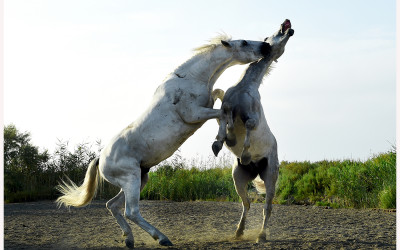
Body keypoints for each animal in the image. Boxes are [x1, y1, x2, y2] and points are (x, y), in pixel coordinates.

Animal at [56, 34, 270, 248]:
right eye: (243, 42)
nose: (266, 46)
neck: (192, 78)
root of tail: (101, 159)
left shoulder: (207, 104)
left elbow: (221, 96)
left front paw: (224, 134)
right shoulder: (194, 114)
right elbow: (223, 111)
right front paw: (220, 141)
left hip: (138, 179)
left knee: (113, 206)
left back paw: (130, 239)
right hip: (131, 179)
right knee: (131, 211)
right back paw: (162, 238)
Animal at [212, 20, 294, 243]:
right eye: (273, 34)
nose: (288, 26)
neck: (244, 87)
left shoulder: (253, 118)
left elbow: (248, 127)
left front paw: (243, 150)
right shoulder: (227, 106)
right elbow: (223, 116)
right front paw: (221, 142)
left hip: (270, 177)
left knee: (267, 208)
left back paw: (261, 236)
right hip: (238, 178)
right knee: (246, 204)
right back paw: (238, 232)